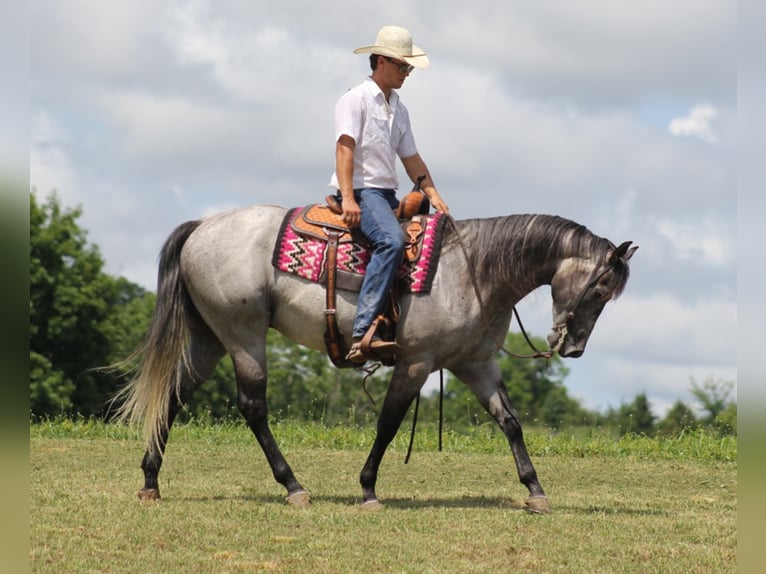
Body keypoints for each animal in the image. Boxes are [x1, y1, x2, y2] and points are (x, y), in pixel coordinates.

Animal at [117, 206, 640, 512]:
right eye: (600, 290)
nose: (573, 347)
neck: (472, 271)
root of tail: (201, 227)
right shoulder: (415, 363)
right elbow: (388, 423)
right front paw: (368, 488)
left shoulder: (475, 364)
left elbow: (510, 422)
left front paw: (535, 490)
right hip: (243, 335)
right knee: (253, 408)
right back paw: (293, 486)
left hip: (210, 338)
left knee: (174, 395)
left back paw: (150, 479)